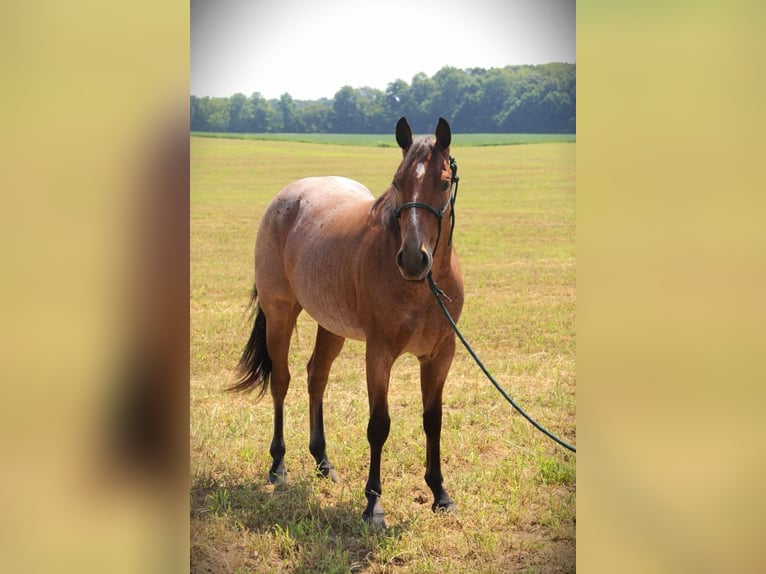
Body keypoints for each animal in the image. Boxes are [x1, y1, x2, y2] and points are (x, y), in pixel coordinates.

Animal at [229, 117, 464, 528]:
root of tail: (288, 197)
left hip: (331, 326)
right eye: (398, 181)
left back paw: (323, 461)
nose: (413, 259)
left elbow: (432, 420)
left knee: (316, 376)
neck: (422, 288)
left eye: (444, 180)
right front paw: (373, 505)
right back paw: (278, 466)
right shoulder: (379, 354)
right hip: (280, 314)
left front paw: (440, 494)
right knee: (282, 381)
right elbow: (379, 425)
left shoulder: (440, 355)